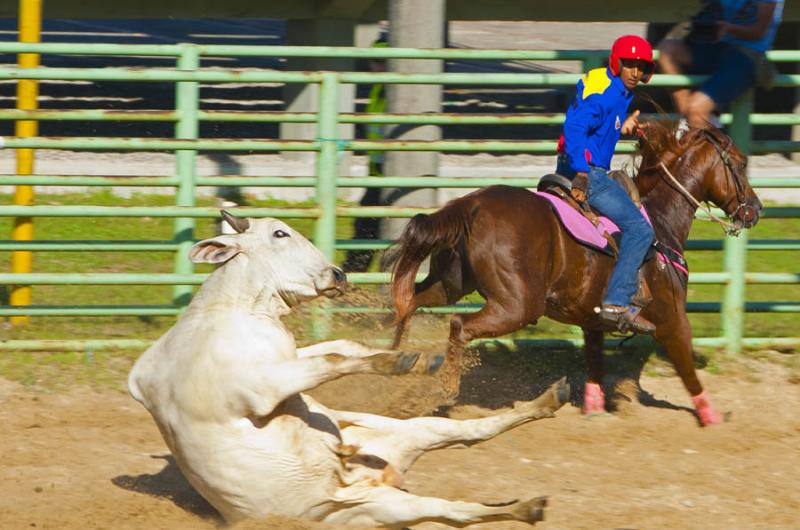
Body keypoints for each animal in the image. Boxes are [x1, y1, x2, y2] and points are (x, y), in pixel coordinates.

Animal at [128, 212, 568, 524]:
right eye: (279, 234)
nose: (338, 273)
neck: (232, 313)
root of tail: (371, 477)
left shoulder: (285, 361)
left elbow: (340, 348)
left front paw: (407, 356)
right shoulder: (261, 386)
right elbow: (333, 360)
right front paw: (400, 360)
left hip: (410, 435)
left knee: (471, 434)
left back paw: (545, 404)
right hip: (377, 507)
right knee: (456, 511)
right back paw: (526, 505)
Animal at [388, 124, 764, 424]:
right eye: (740, 163)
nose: (755, 210)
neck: (660, 224)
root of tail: (474, 204)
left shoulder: (593, 320)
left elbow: (595, 364)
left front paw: (594, 410)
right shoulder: (672, 320)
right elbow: (688, 370)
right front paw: (712, 417)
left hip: (451, 283)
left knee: (409, 303)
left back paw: (395, 361)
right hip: (518, 305)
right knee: (458, 325)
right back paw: (446, 387)